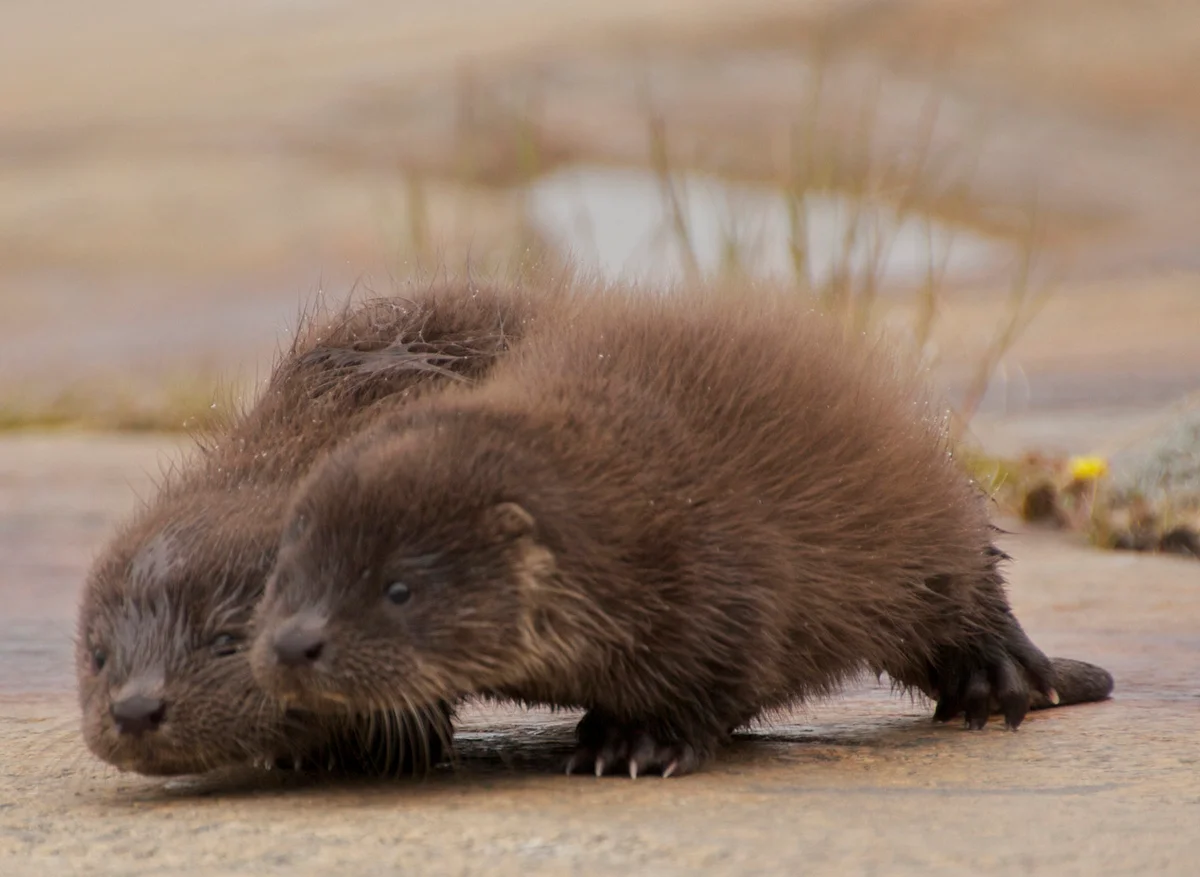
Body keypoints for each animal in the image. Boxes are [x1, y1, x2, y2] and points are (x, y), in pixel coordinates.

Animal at [250, 286, 1113, 778]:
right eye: (284, 576)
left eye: (399, 587)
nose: (293, 643)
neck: (631, 524)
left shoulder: (724, 579)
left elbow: (714, 672)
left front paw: (638, 743)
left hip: (927, 521)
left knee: (971, 592)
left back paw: (996, 680)